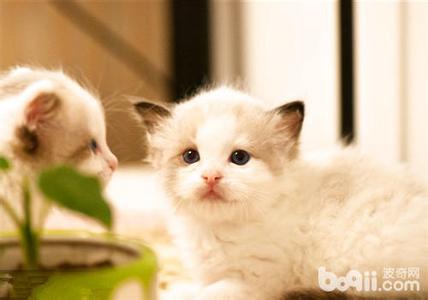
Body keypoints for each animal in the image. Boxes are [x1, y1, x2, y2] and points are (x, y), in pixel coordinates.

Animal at [135, 87, 426, 300]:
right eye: (190, 156)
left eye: (239, 158)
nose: (211, 177)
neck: (217, 230)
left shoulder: (252, 282)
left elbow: (202, 293)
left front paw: (171, 291)